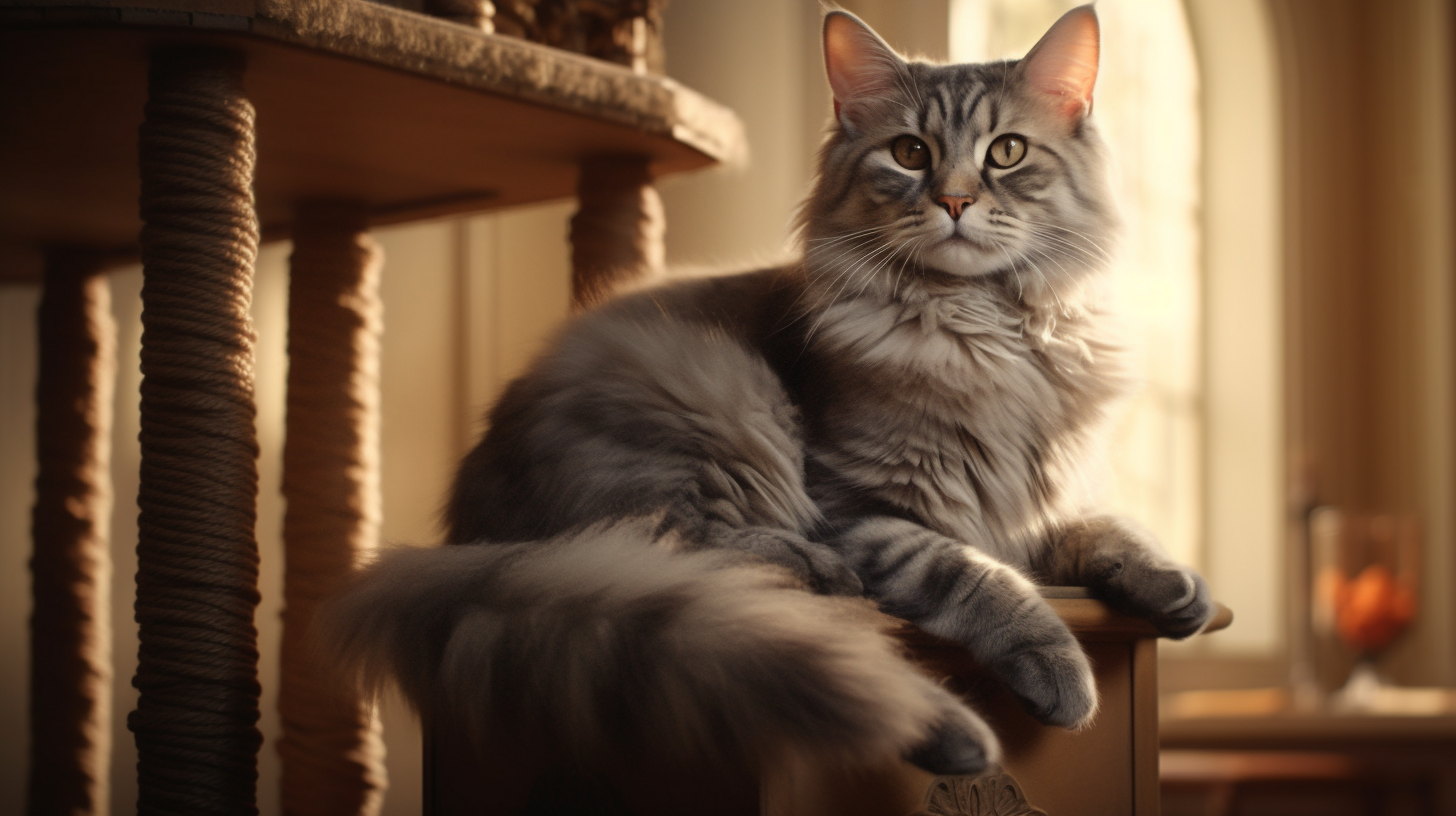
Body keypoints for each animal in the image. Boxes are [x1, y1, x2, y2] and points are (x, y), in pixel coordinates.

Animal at [327, 6, 1217, 781]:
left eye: (1005, 153)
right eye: (909, 152)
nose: (957, 201)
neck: (987, 331)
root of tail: (464, 526)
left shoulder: (1032, 499)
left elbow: (1106, 527)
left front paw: (1175, 586)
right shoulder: (862, 505)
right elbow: (974, 577)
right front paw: (1057, 664)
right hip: (713, 400)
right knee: (646, 541)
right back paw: (818, 572)